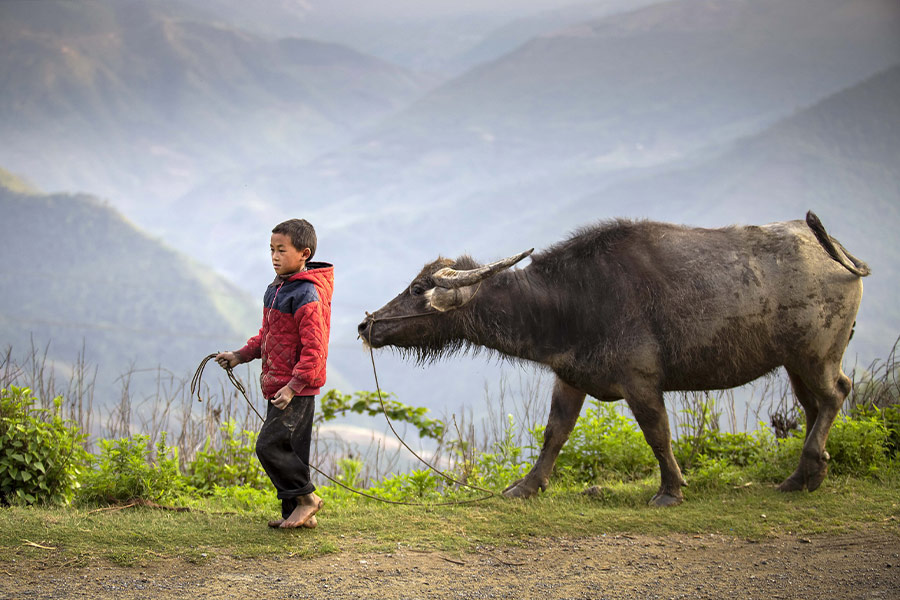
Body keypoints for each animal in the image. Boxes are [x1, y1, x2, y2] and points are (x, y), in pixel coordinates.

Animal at [358, 212, 869, 506]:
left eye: (418, 288)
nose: (367, 326)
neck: (571, 301)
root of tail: (835, 251)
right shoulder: (570, 377)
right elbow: (554, 433)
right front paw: (525, 487)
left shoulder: (641, 382)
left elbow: (657, 433)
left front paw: (670, 490)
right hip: (795, 361)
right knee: (813, 406)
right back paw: (802, 477)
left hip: (817, 353)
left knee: (835, 394)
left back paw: (809, 468)